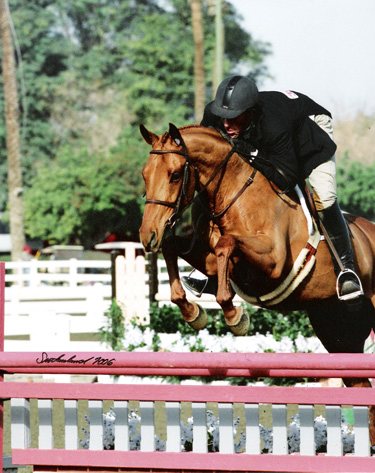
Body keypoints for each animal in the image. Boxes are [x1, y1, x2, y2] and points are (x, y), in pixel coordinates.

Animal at [140, 124, 375, 442]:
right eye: (144, 174)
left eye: (175, 175)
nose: (147, 235)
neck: (237, 194)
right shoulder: (214, 260)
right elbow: (176, 246)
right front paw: (192, 311)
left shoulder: (272, 263)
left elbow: (226, 244)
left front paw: (234, 315)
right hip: (338, 332)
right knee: (363, 389)